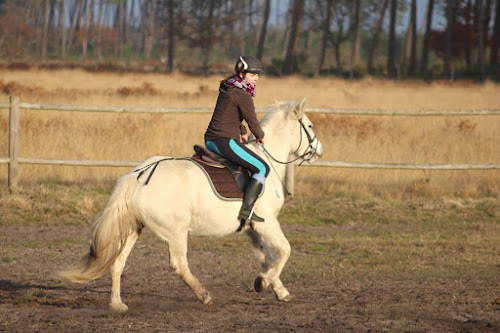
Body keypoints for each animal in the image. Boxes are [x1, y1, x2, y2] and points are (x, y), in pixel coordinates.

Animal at [59, 99, 324, 312]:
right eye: (310, 126)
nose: (319, 150)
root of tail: (137, 176)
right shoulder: (267, 223)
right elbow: (284, 251)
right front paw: (263, 282)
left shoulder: (252, 229)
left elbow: (266, 257)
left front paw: (278, 290)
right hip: (176, 232)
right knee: (179, 265)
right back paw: (204, 296)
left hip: (134, 229)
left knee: (117, 264)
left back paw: (117, 305)